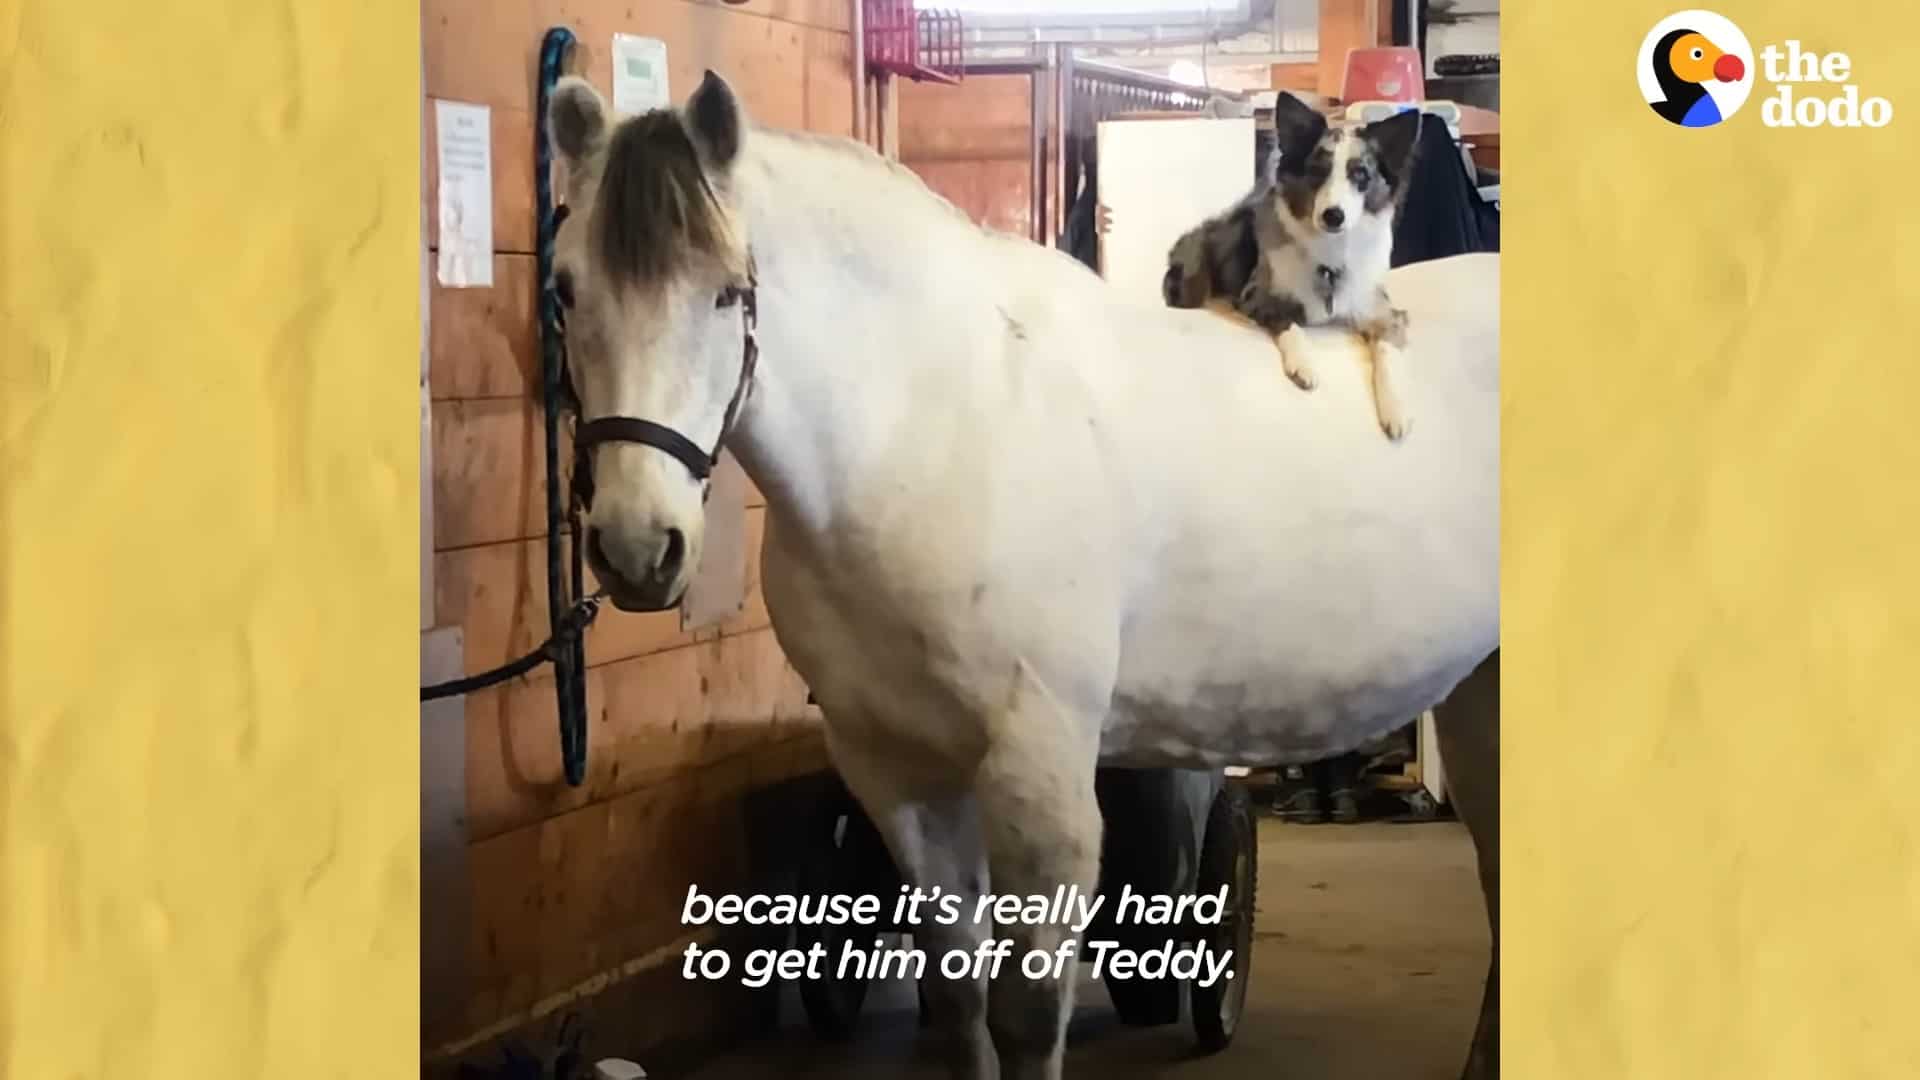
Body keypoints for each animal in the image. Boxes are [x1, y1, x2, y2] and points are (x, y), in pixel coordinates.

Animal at [545, 71, 1497, 1068]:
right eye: (565, 289)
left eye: (730, 294)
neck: (934, 424)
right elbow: (958, 996)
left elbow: (1027, 1014)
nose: (637, 545)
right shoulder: (897, 773)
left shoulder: (1041, 778)